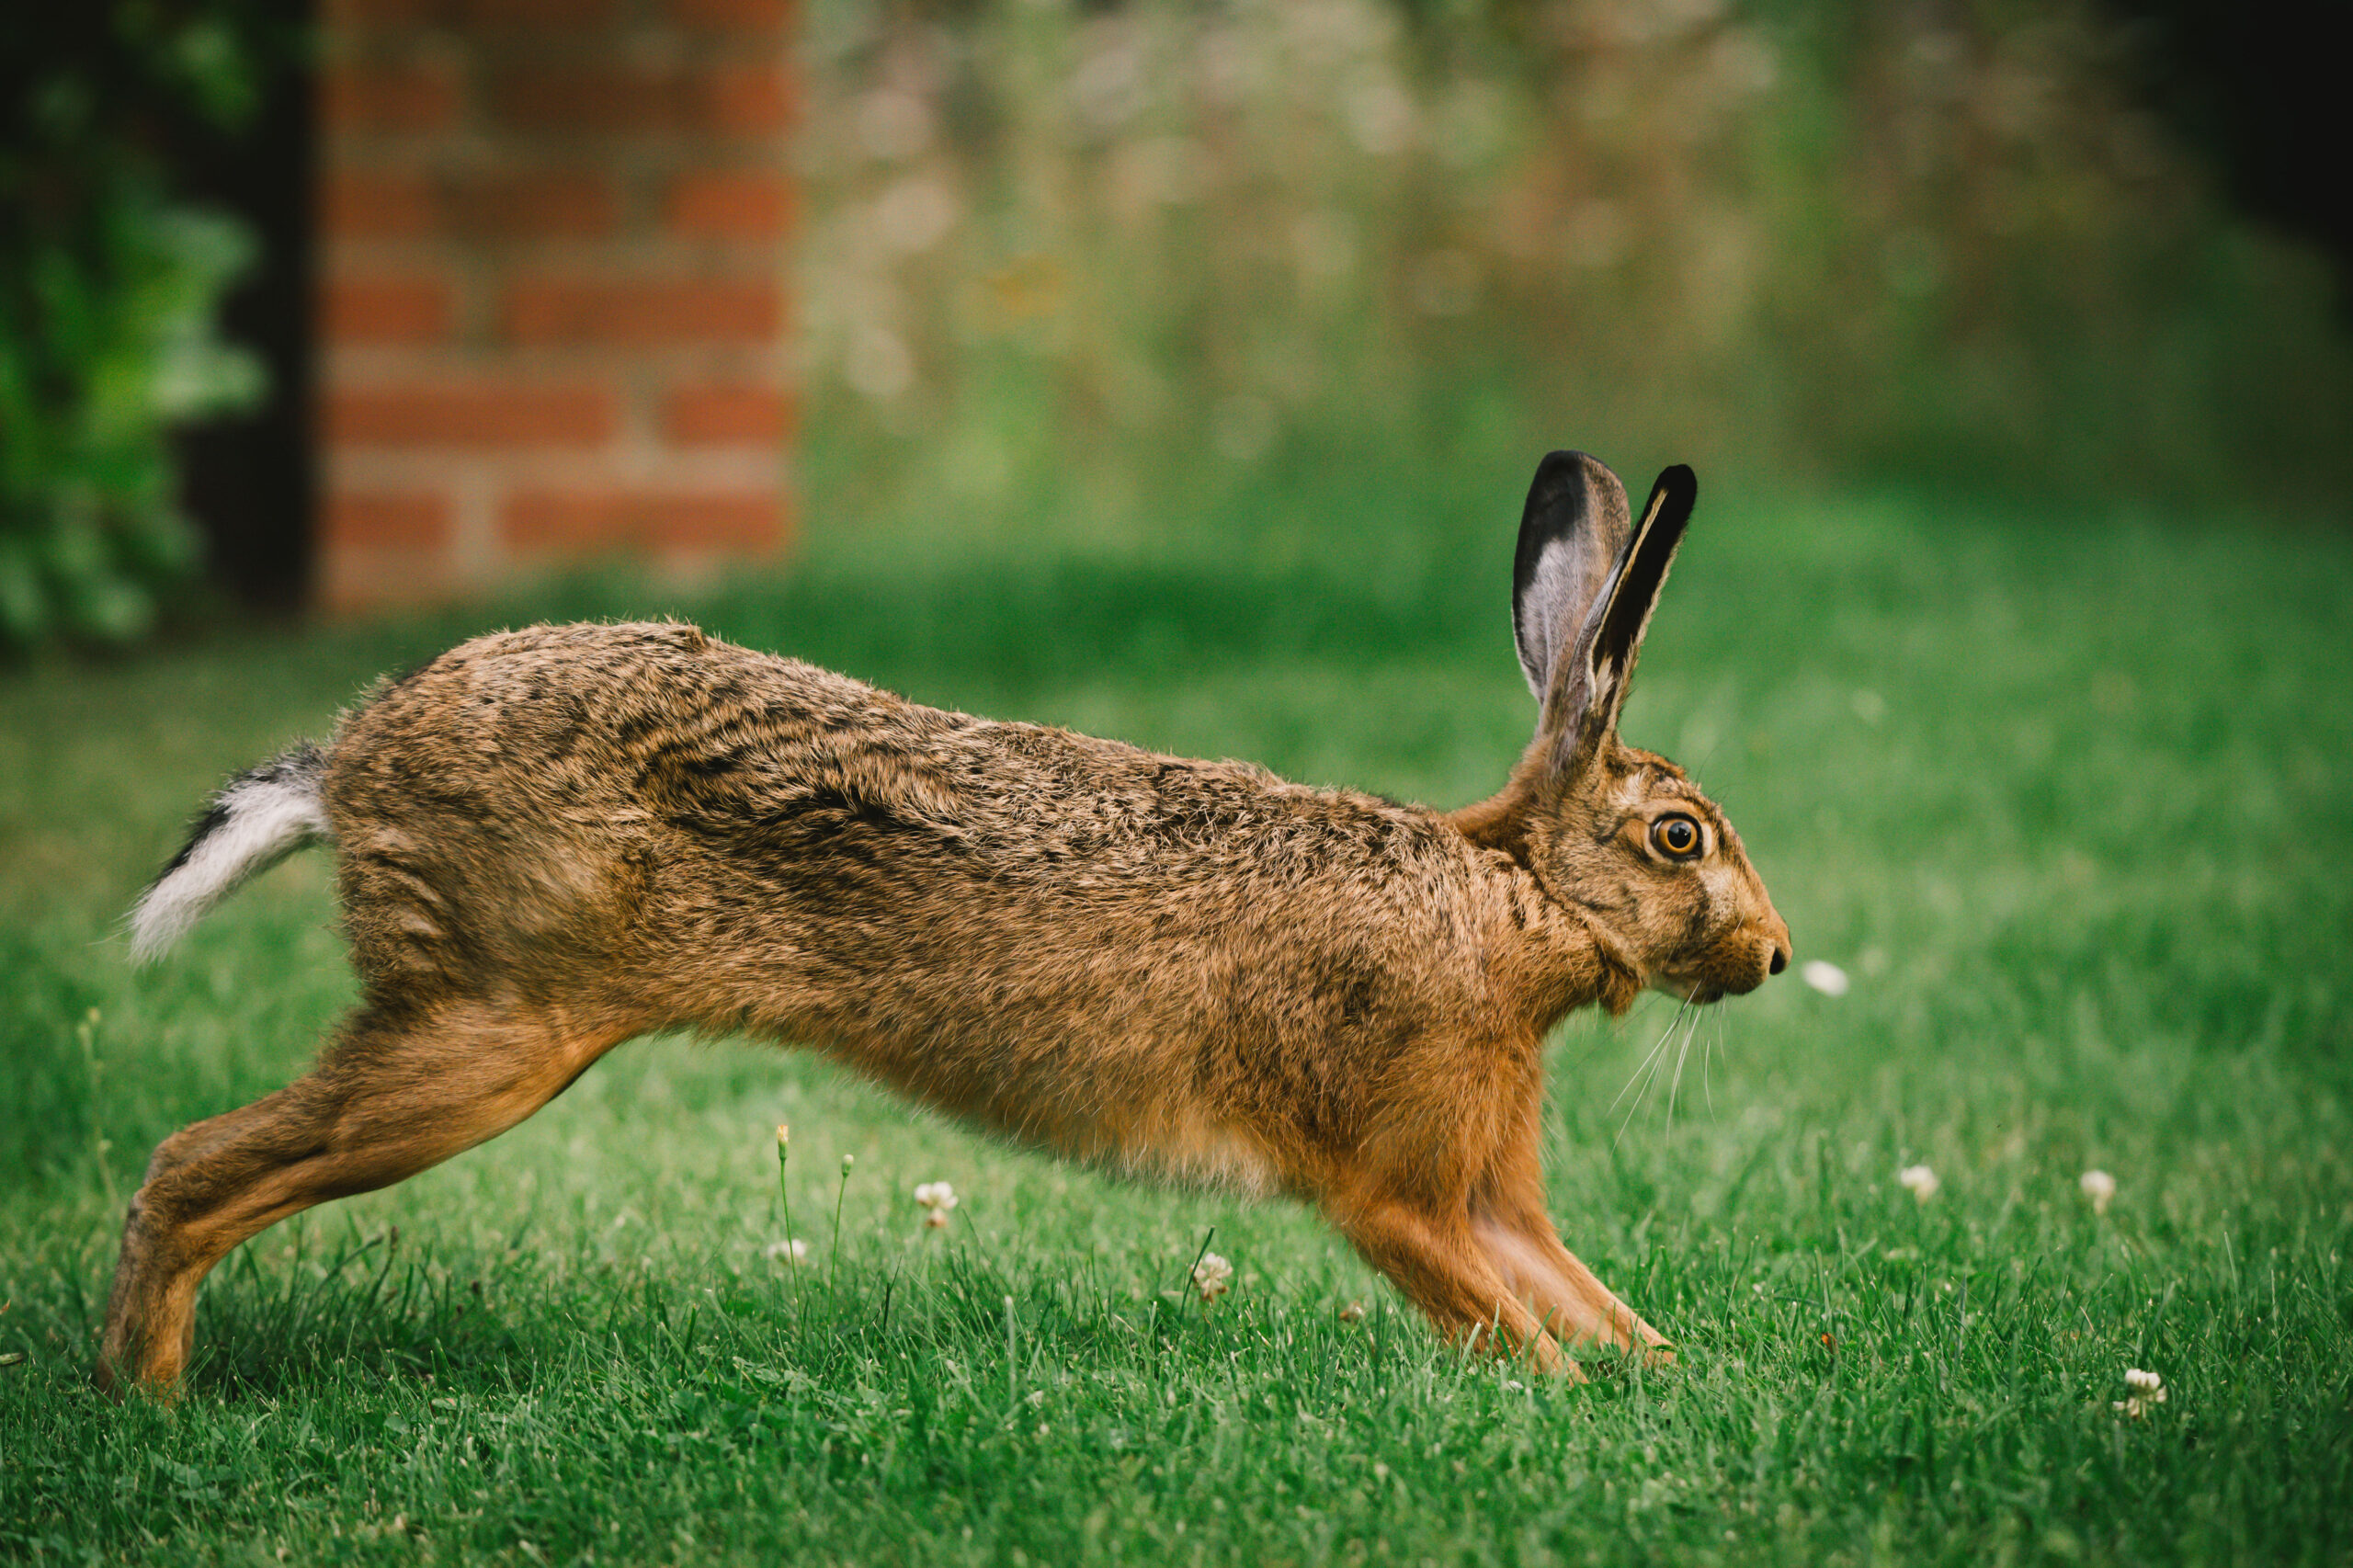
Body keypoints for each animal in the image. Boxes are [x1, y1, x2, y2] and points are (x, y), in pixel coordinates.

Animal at [101, 452, 1789, 1393]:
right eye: (1680, 836)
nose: (1774, 956)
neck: (1510, 902)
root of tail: (356, 756)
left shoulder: (1490, 1186)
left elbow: (1574, 1289)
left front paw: (1667, 1379)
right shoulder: (1392, 1189)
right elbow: (1497, 1314)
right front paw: (1571, 1399)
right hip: (489, 1025)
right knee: (187, 1173)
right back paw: (148, 1401)